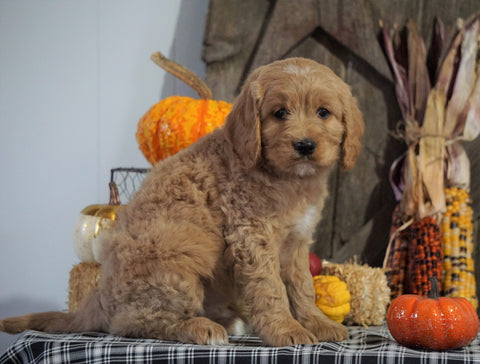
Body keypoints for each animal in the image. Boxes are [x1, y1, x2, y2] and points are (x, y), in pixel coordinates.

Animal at [0, 57, 364, 346]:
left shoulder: (297, 240)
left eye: (323, 113)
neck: (289, 180)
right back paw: (202, 328)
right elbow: (270, 288)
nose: (304, 145)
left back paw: (228, 321)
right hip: (176, 266)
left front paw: (317, 323)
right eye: (279, 113)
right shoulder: (252, 236)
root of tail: (99, 296)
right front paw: (287, 330)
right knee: (131, 323)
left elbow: (302, 286)